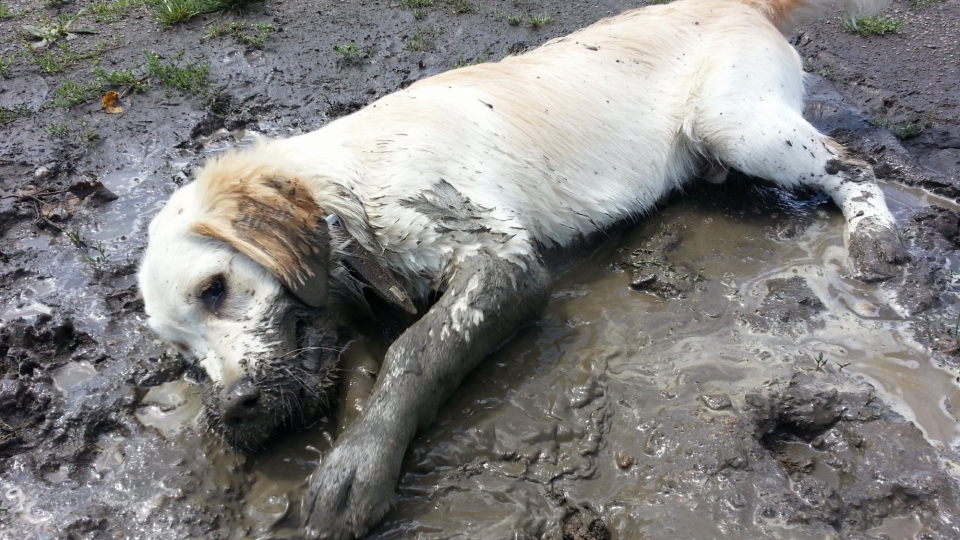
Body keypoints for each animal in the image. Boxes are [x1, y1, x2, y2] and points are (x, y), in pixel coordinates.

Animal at [137, 1, 908, 536]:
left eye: (216, 289)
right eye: (183, 358)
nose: (232, 412)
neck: (353, 181)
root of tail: (746, 6)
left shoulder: (500, 258)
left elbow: (416, 353)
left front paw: (359, 469)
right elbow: (360, 361)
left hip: (737, 121)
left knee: (854, 164)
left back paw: (876, 240)